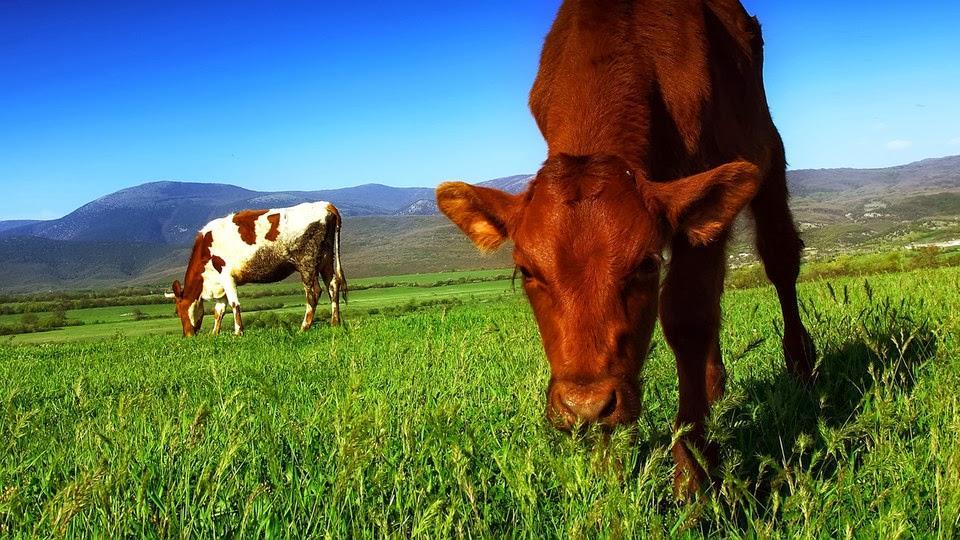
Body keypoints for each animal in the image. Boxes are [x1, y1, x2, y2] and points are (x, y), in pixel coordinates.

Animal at [169, 202, 348, 338]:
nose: (187, 335)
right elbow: (218, 310)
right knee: (333, 286)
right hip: (326, 260)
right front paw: (214, 334)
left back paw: (304, 327)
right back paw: (335, 323)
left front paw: (238, 332)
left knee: (314, 293)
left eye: (178, 311)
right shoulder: (219, 284)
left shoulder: (227, 276)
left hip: (307, 263)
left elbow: (234, 304)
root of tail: (325, 204)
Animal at [438, 0, 812, 494]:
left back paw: (800, 362)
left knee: (779, 259)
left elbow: (688, 318)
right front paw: (608, 471)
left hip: (767, 148)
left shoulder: (704, 194)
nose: (586, 403)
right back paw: (714, 386)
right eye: (528, 271)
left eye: (646, 265)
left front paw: (693, 475)